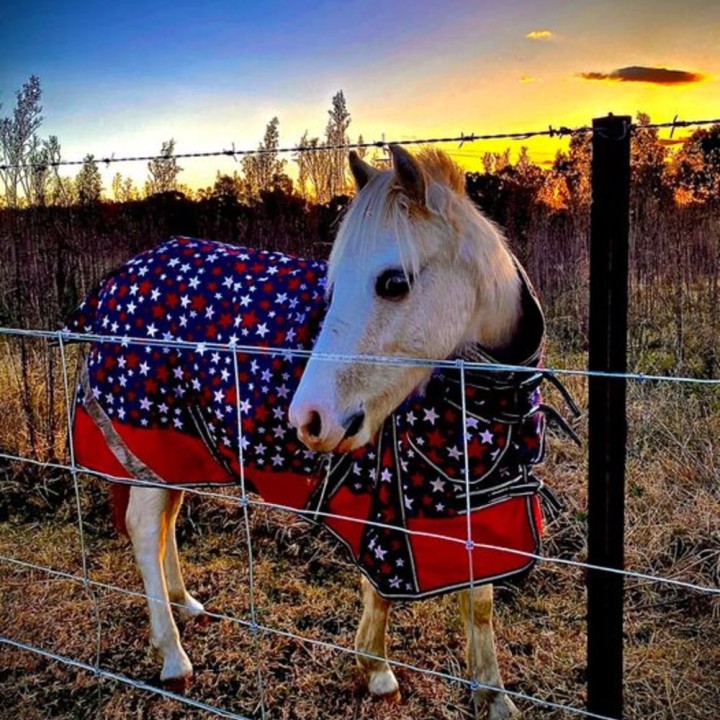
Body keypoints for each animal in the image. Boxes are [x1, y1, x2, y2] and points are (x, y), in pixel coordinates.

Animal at [66, 146, 549, 720]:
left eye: (394, 282)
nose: (308, 419)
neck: (486, 408)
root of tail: (120, 277)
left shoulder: (464, 509)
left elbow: (476, 603)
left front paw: (491, 696)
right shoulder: (390, 506)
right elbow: (387, 591)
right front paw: (378, 671)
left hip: (176, 453)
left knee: (165, 527)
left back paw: (186, 603)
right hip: (148, 441)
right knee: (144, 529)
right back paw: (173, 657)